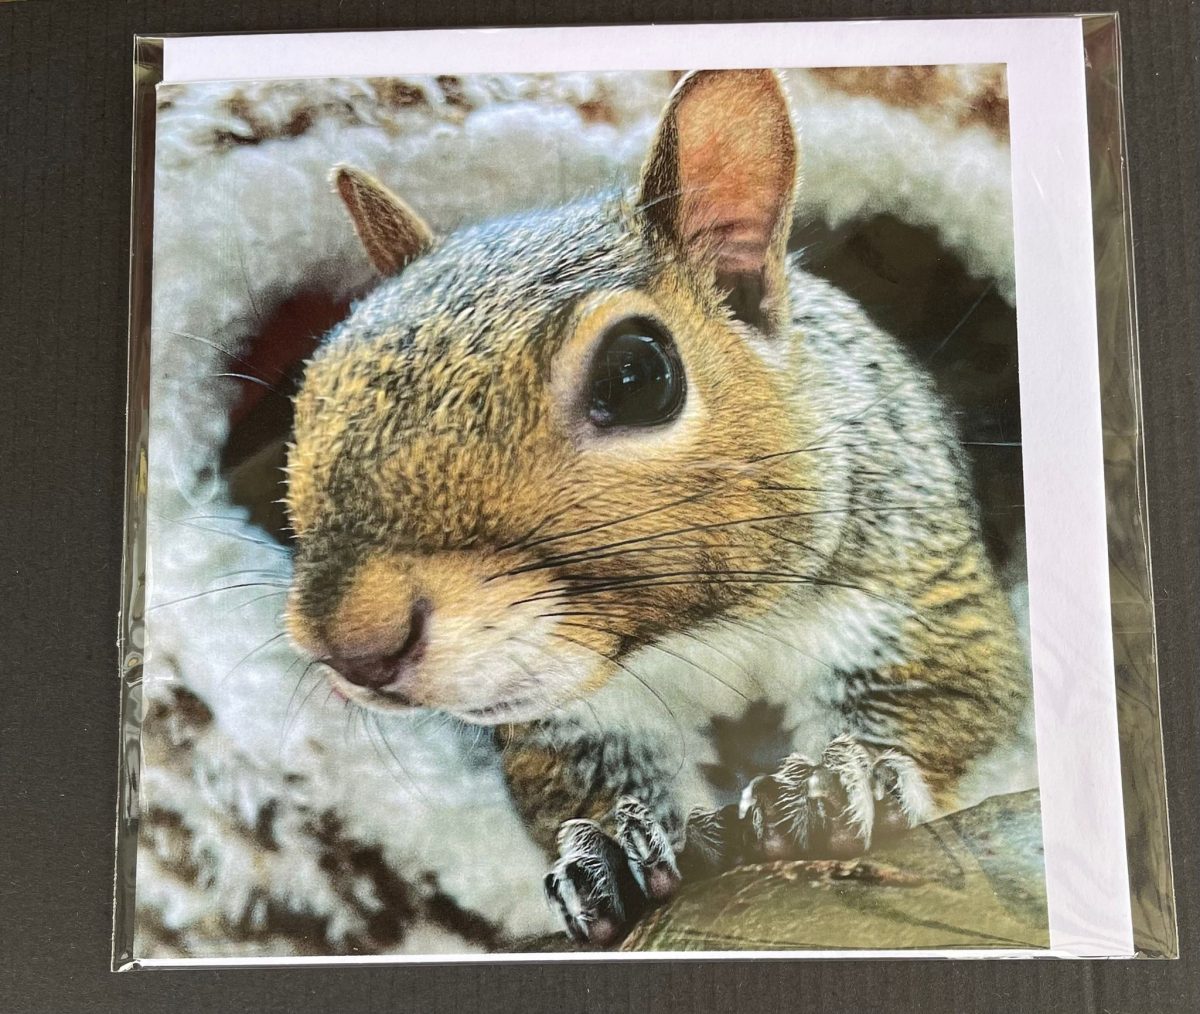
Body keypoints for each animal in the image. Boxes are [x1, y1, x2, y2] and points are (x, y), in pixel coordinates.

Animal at [282, 69, 1030, 947]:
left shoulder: (909, 591)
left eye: (636, 375)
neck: (700, 630)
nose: (352, 648)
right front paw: (604, 856)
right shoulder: (575, 719)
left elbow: (945, 698)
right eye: (313, 381)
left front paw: (841, 785)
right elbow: (589, 784)